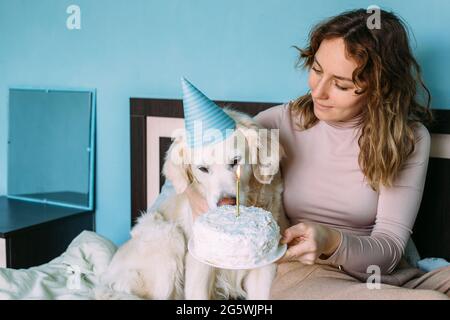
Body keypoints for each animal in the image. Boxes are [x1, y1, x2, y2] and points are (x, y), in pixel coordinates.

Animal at [98, 109, 288, 298]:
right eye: (203, 169)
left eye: (235, 161)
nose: (227, 202)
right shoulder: (198, 264)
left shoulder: (264, 268)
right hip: (168, 237)